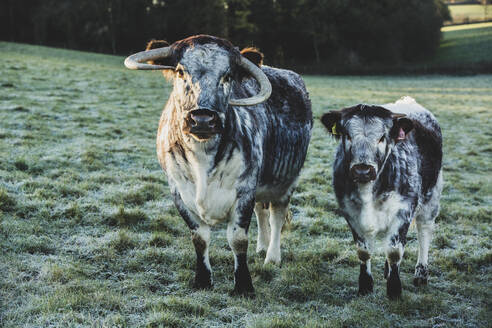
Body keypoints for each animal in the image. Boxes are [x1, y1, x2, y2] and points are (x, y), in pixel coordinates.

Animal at [125, 35, 314, 294]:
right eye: (180, 71)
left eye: (228, 75)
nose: (203, 119)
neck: (202, 157)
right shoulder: (178, 192)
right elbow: (199, 238)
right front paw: (203, 280)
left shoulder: (244, 190)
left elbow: (238, 240)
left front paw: (243, 285)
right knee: (262, 212)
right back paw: (262, 247)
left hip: (286, 182)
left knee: (276, 216)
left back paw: (272, 257)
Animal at [320, 96, 444, 298]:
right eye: (347, 136)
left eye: (382, 137)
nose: (362, 170)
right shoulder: (350, 212)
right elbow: (363, 251)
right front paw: (365, 286)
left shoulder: (404, 209)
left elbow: (394, 252)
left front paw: (394, 290)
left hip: (432, 197)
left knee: (424, 231)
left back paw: (421, 274)